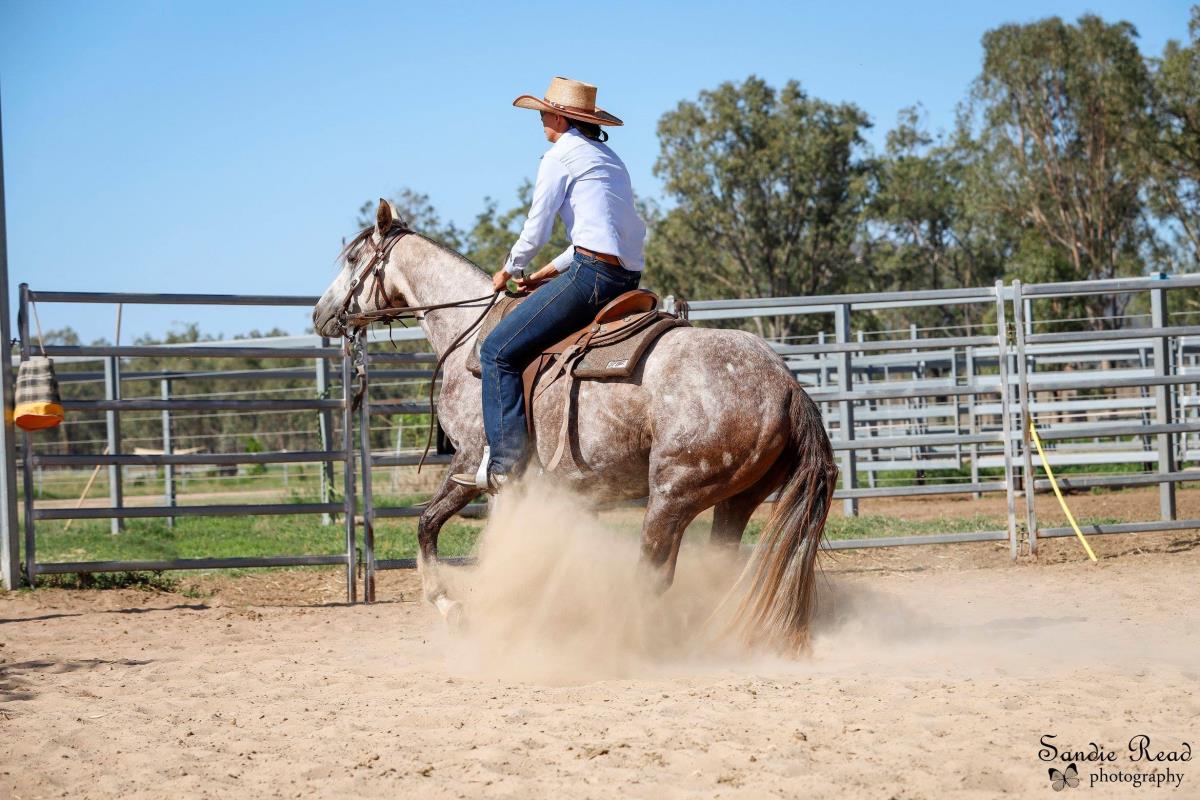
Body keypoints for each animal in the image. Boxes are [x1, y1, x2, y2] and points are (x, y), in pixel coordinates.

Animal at [313, 200, 837, 652]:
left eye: (354, 257)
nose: (320, 314)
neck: (468, 337)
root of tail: (787, 386)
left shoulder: (473, 463)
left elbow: (427, 525)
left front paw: (453, 607)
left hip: (673, 494)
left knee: (655, 572)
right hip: (737, 499)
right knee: (717, 564)